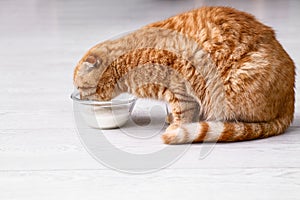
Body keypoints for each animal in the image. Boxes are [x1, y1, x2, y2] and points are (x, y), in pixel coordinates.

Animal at [73, 6, 296, 144]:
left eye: (79, 87)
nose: (79, 97)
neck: (130, 59)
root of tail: (290, 102)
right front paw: (171, 119)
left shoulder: (180, 92)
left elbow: (183, 115)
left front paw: (178, 128)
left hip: (229, 91)